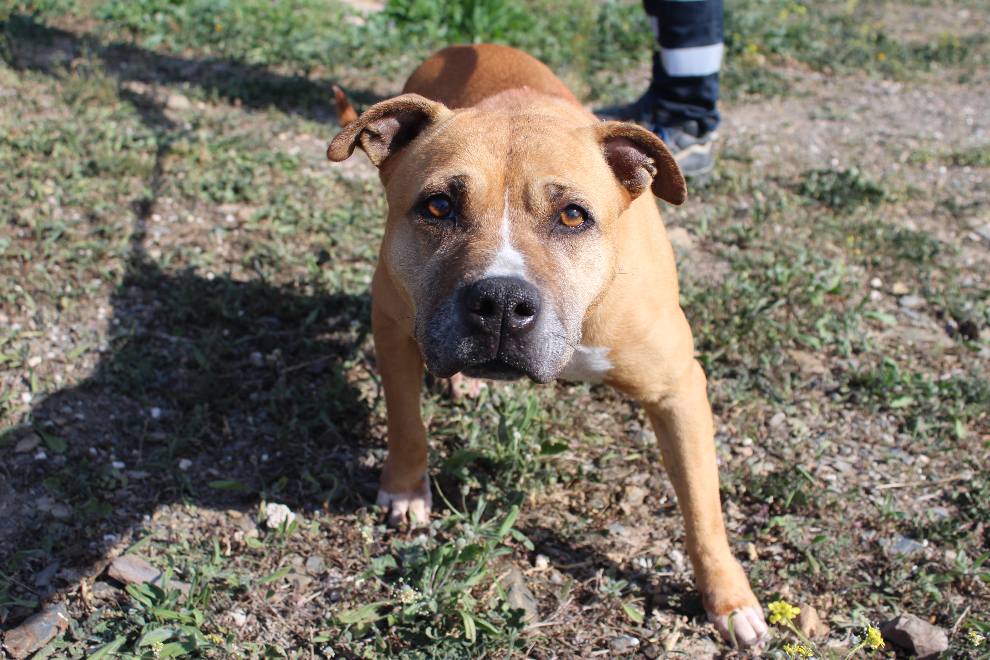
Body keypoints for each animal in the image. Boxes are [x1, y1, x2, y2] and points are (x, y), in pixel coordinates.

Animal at [330, 43, 772, 648]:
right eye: (439, 206)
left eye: (573, 216)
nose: (501, 301)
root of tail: (471, 45)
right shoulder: (393, 328)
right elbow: (406, 423)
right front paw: (404, 490)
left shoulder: (678, 390)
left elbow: (703, 508)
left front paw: (729, 599)